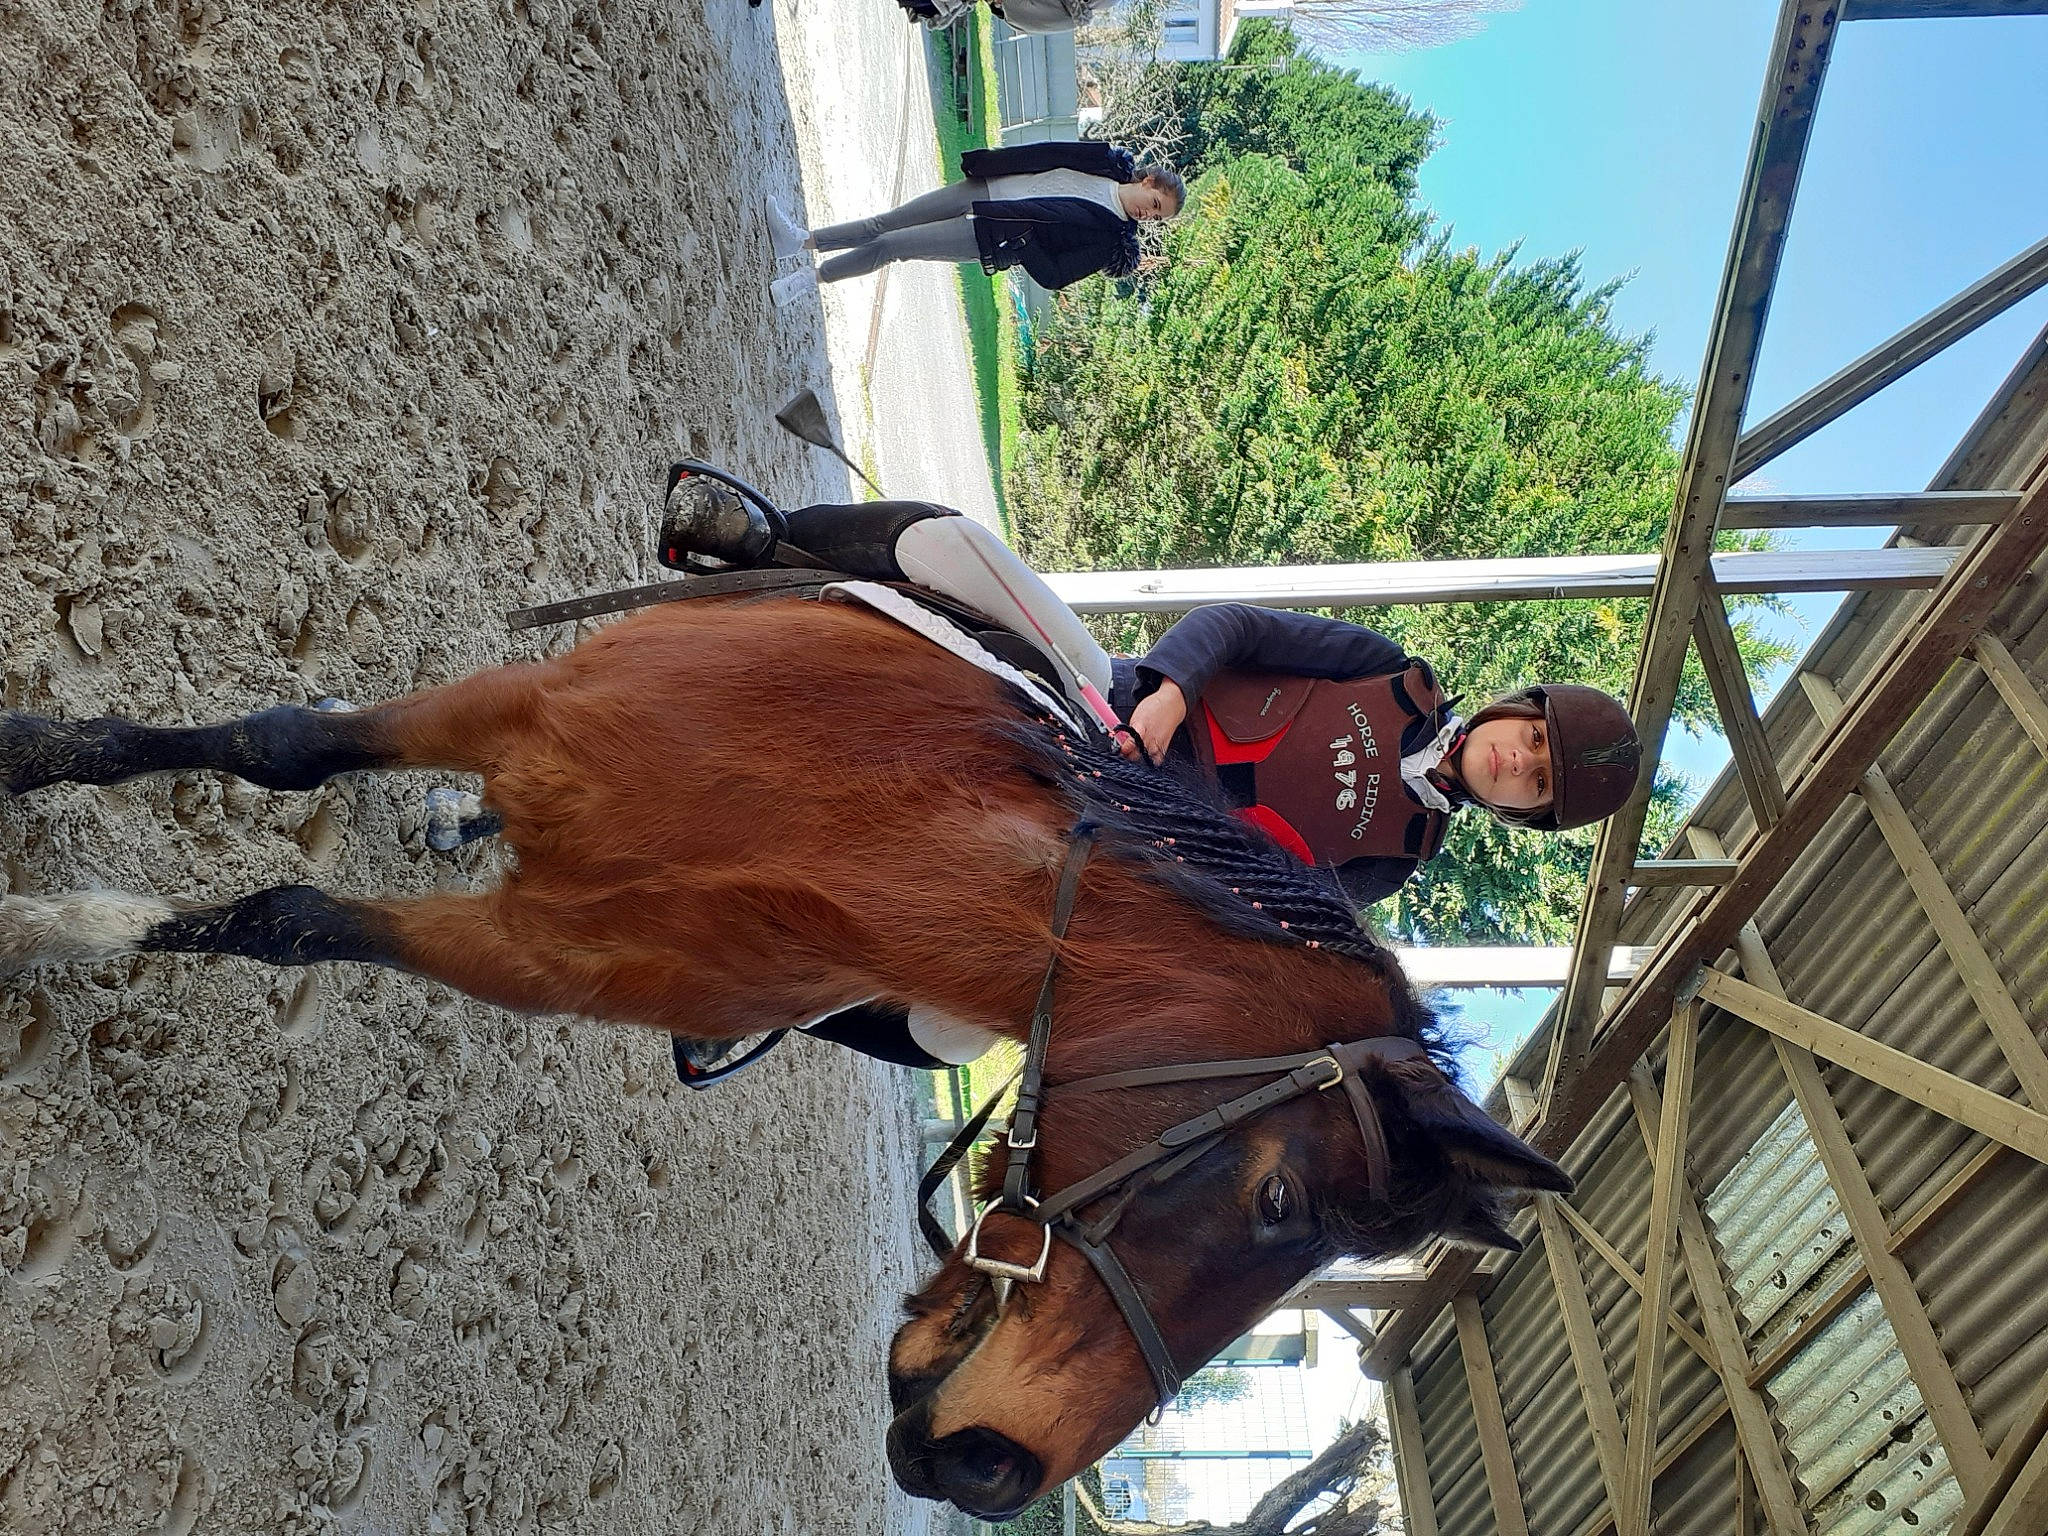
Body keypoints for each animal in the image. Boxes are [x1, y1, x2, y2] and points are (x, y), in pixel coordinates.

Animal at [0, 592, 1570, 1518]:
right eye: (1278, 1204)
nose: (992, 1471)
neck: (841, 826)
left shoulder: (543, 957)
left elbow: (289, 920)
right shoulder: (513, 707)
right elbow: (278, 755)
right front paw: (34, 817)